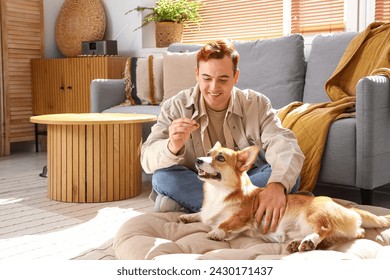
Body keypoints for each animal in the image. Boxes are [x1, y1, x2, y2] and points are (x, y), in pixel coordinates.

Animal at [181, 142, 390, 254]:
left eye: (221, 158)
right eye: (208, 154)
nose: (198, 160)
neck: (218, 193)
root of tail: (350, 209)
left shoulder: (244, 217)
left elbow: (226, 223)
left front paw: (216, 232)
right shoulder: (207, 213)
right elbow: (201, 214)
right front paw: (187, 216)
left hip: (314, 215)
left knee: (325, 228)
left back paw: (309, 241)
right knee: (353, 234)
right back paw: (300, 243)